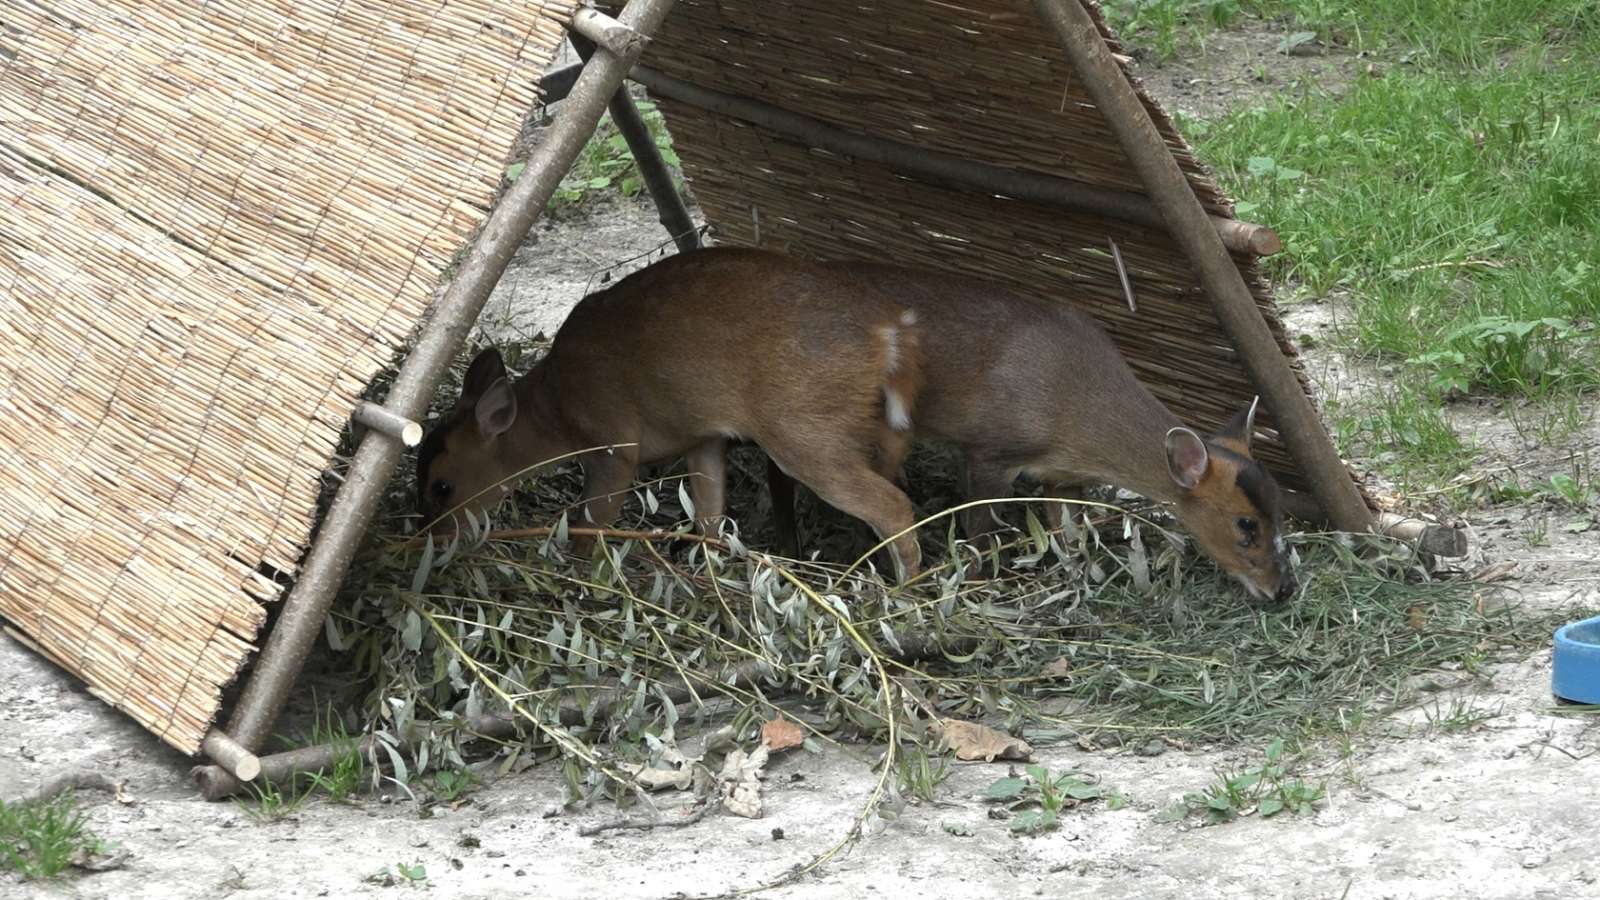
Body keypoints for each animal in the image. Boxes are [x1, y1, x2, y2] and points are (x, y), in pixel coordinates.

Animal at [416, 246, 928, 573]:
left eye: (442, 486)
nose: (432, 537)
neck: (559, 408)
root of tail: (889, 334)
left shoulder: (614, 443)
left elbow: (590, 525)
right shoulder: (703, 436)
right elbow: (710, 517)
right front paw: (710, 575)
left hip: (803, 428)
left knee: (893, 506)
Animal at [768, 261, 1292, 602]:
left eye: (1280, 508)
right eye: (1245, 524)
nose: (1280, 589)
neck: (1072, 410)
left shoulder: (1059, 473)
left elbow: (1068, 532)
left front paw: (1073, 575)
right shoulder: (990, 449)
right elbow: (978, 530)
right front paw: (978, 585)